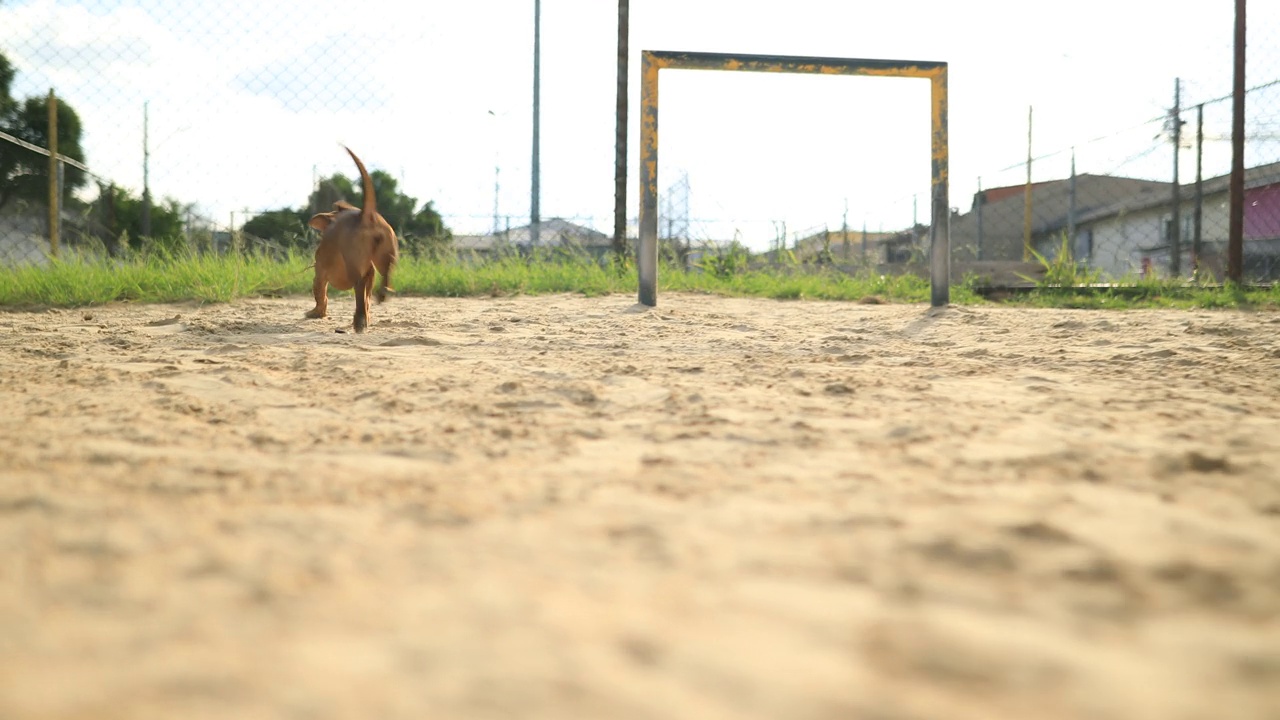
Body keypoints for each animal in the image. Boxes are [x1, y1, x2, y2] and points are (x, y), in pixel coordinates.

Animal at [303, 149, 394, 333]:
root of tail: (366, 216)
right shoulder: (370, 271)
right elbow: (366, 297)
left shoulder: (319, 273)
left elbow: (320, 295)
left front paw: (316, 313)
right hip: (385, 252)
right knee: (382, 276)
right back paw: (379, 297)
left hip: (354, 264)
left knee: (359, 286)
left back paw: (359, 321)